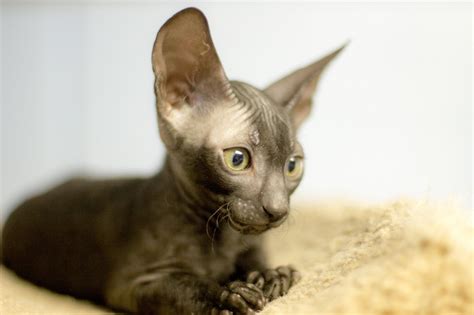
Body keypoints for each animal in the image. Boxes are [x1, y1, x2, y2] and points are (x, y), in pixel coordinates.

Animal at [2, 7, 344, 315]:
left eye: (292, 166)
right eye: (237, 159)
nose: (278, 210)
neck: (221, 239)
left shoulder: (252, 244)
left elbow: (258, 260)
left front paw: (273, 275)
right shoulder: (132, 282)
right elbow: (184, 289)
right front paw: (228, 296)